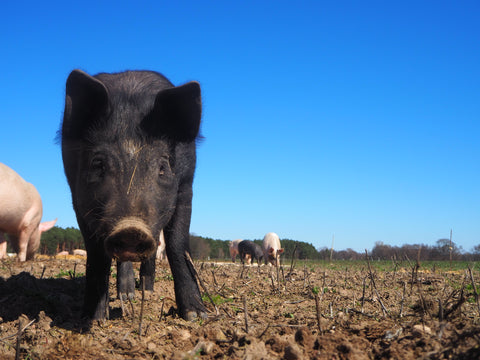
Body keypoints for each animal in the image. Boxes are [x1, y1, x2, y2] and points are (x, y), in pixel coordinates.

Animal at [60, 69, 206, 320]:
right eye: (98, 164)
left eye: (162, 167)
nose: (130, 229)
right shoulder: (77, 197)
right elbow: (96, 253)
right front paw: (94, 318)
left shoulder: (186, 186)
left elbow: (178, 245)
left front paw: (197, 315)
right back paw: (126, 295)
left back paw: (146, 290)